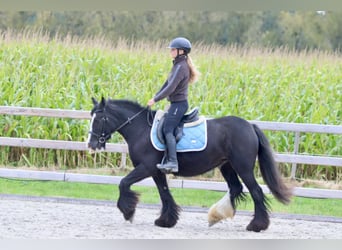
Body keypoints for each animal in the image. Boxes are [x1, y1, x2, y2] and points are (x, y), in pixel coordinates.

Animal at [88, 97, 292, 232]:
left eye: (99, 119)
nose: (91, 145)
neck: (140, 130)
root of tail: (250, 126)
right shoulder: (156, 171)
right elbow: (164, 194)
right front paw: (166, 221)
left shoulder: (146, 167)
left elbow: (123, 183)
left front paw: (128, 212)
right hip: (226, 166)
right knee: (236, 188)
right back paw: (215, 216)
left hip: (243, 167)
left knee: (255, 191)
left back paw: (256, 225)